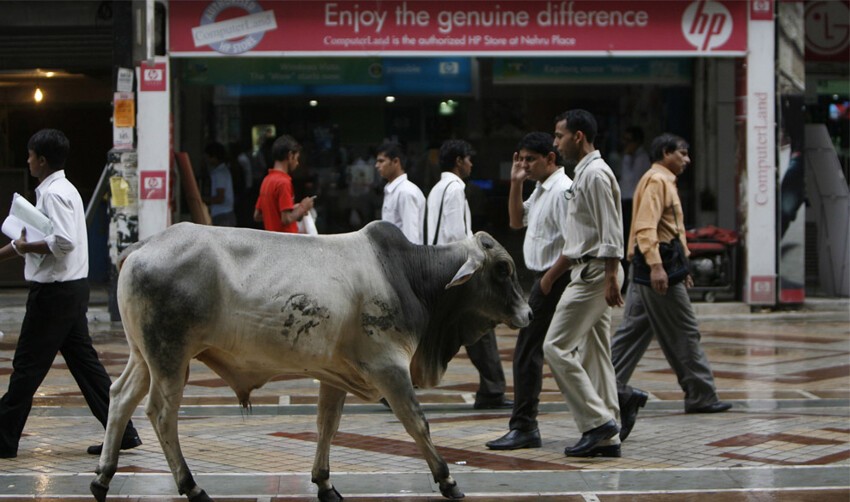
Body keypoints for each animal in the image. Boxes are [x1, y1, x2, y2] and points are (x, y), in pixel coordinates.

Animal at [93, 224, 528, 502]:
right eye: (503, 269)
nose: (528, 313)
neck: (409, 276)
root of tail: (140, 247)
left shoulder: (335, 375)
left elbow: (327, 426)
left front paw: (324, 483)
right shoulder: (389, 367)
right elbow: (417, 423)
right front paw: (447, 479)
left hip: (144, 357)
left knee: (120, 396)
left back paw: (103, 477)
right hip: (170, 357)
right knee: (161, 413)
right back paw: (191, 486)